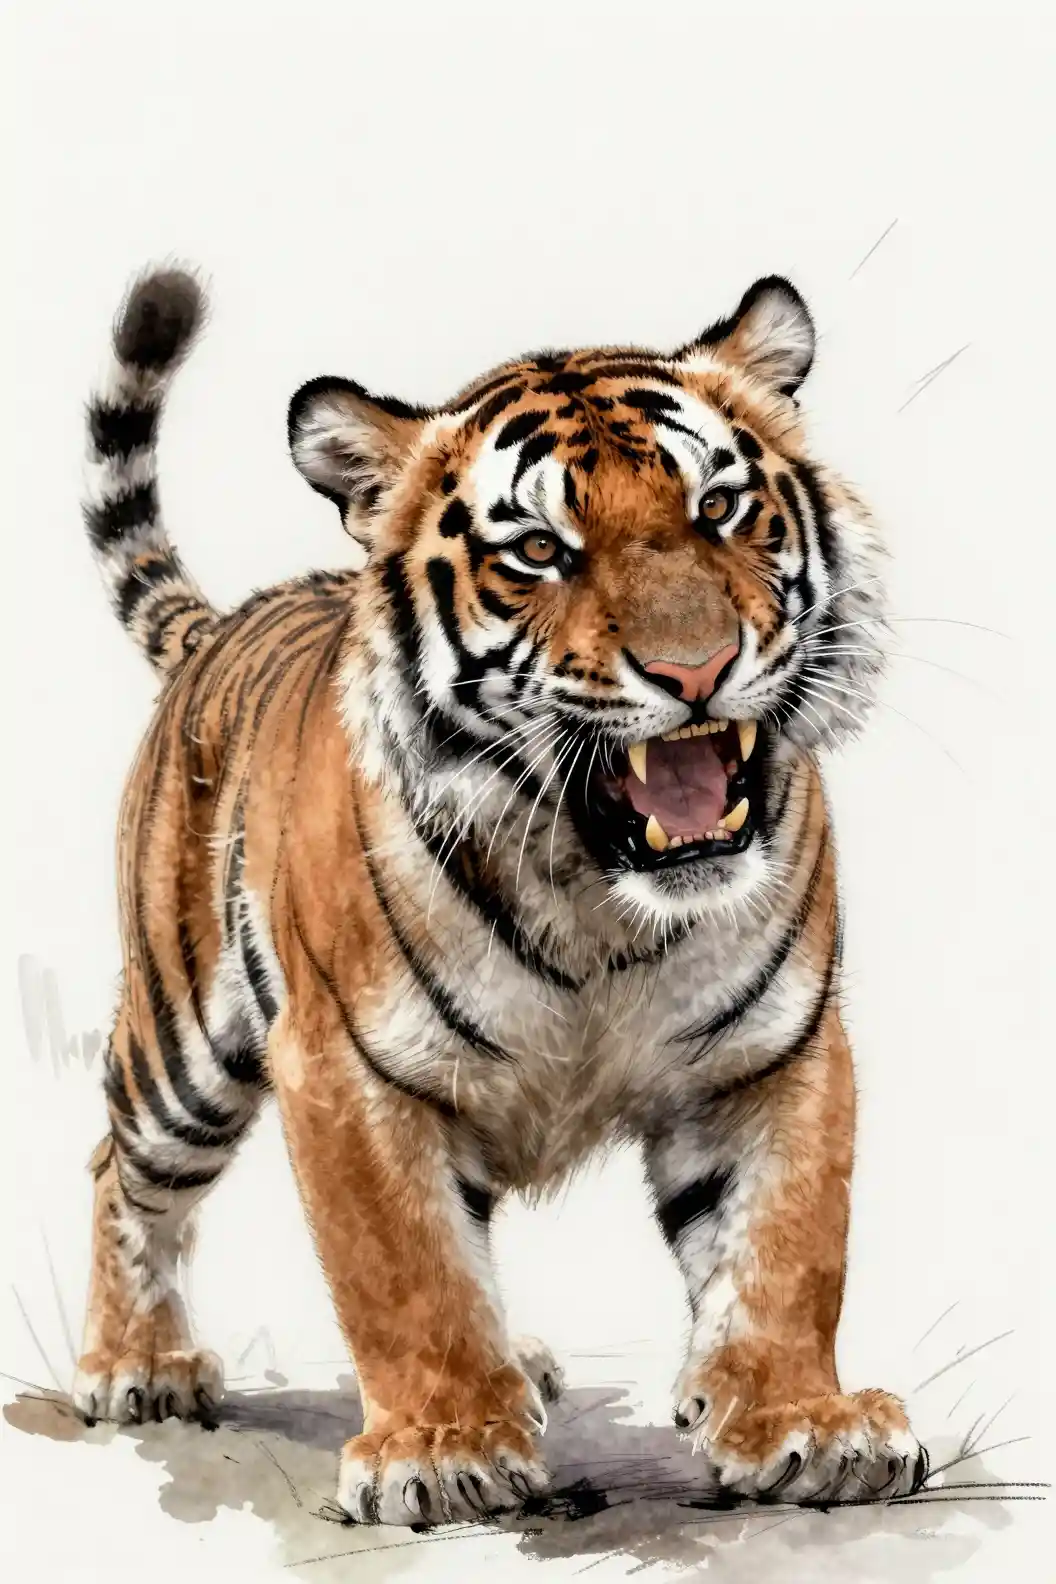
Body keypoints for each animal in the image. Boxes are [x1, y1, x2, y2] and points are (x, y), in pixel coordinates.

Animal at [71, 264, 927, 1526]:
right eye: (536, 551)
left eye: (720, 507)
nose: (695, 670)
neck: (601, 899)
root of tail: (227, 621)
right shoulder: (349, 1071)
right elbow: (406, 1271)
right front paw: (441, 1448)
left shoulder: (774, 1051)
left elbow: (784, 1248)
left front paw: (802, 1423)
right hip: (183, 1048)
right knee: (121, 1170)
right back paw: (138, 1363)